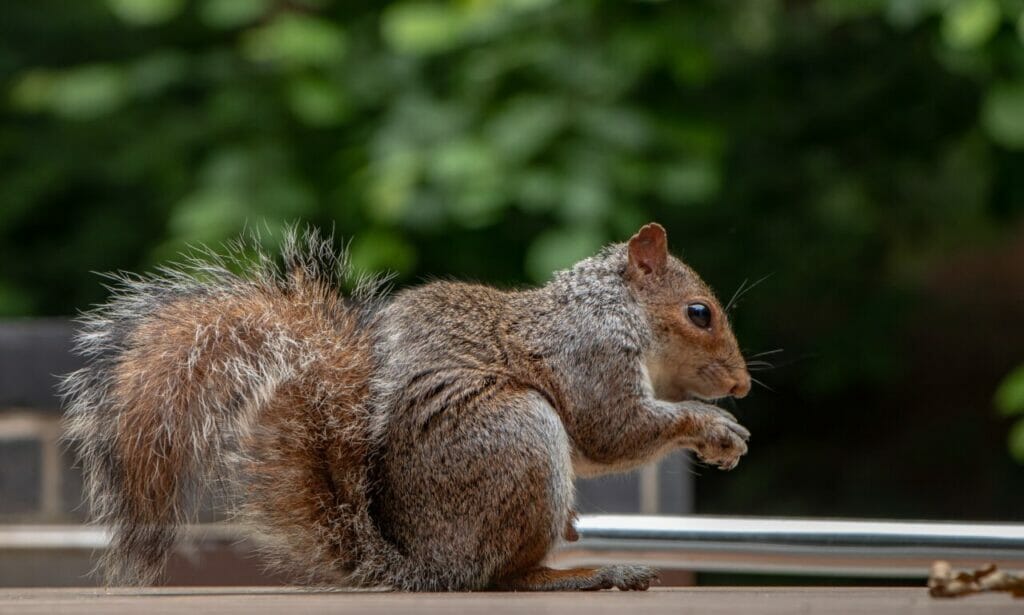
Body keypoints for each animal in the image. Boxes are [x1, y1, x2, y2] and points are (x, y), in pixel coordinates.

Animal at [61, 222, 751, 591]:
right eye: (699, 313)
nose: (742, 386)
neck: (613, 308)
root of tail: (429, 564)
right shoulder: (591, 353)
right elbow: (612, 431)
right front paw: (716, 428)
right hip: (517, 433)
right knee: (503, 577)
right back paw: (587, 573)